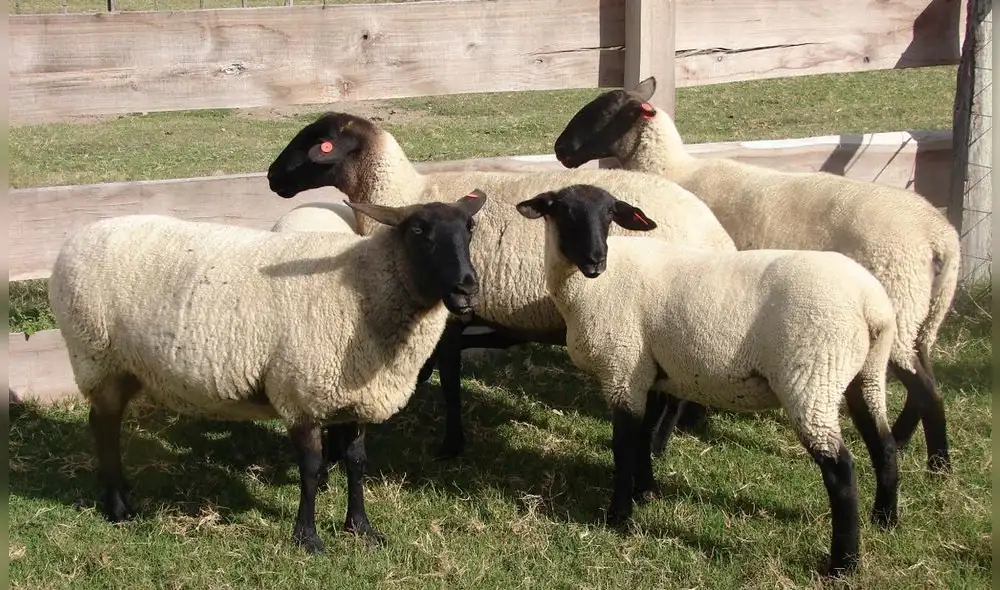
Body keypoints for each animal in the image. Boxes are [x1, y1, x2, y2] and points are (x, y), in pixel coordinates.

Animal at [48, 193, 487, 553]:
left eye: (469, 228)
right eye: (418, 231)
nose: (467, 289)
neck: (365, 286)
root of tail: (73, 241)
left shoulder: (352, 399)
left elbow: (357, 462)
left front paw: (361, 528)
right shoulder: (300, 393)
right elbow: (311, 469)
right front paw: (307, 539)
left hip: (121, 365)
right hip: (95, 356)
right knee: (103, 426)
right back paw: (119, 508)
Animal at [264, 112, 736, 459]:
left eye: (319, 143)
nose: (271, 177)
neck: (401, 194)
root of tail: (719, 237)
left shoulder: (454, 314)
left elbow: (450, 381)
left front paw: (451, 444)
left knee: (671, 396)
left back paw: (655, 445)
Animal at [516, 184, 900, 577]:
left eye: (610, 214)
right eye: (563, 211)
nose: (596, 260)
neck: (589, 288)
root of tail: (872, 304)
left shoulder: (622, 369)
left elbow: (624, 445)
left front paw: (619, 516)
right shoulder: (649, 372)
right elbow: (644, 437)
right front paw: (646, 491)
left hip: (811, 378)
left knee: (840, 469)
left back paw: (844, 563)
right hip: (864, 373)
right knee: (884, 445)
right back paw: (884, 519)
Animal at [553, 76, 961, 473]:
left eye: (606, 111)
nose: (560, 149)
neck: (673, 170)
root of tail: (940, 236)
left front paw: (687, 420)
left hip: (900, 303)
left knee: (927, 389)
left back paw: (938, 463)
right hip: (921, 318)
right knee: (924, 380)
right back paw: (907, 441)